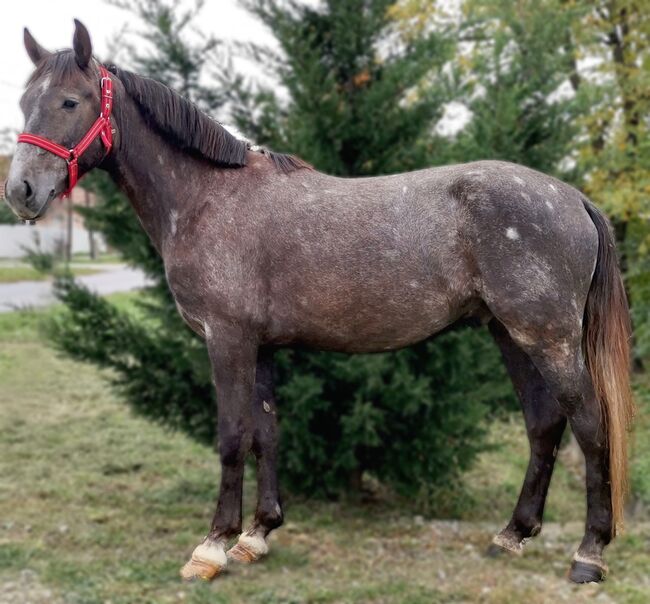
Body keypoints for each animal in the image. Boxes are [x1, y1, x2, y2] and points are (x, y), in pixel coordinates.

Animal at [5, 21, 632, 584]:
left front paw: (213, 546)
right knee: (544, 425)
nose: (21, 191)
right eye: (24, 100)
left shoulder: (227, 339)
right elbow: (266, 432)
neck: (208, 197)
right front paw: (257, 535)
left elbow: (232, 436)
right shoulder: (259, 347)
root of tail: (571, 196)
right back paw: (513, 535)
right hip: (511, 335)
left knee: (590, 424)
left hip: (547, 338)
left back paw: (589, 554)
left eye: (70, 101)